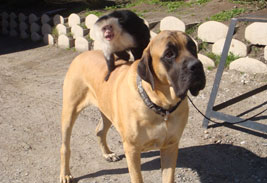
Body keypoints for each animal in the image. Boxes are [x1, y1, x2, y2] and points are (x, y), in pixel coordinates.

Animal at [60, 30, 206, 183]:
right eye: (169, 54)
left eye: (193, 48)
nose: (197, 65)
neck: (161, 105)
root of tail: (81, 55)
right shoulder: (132, 149)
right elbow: (137, 178)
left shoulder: (170, 146)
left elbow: (168, 177)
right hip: (70, 110)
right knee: (65, 147)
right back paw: (65, 174)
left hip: (107, 109)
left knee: (100, 130)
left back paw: (107, 154)